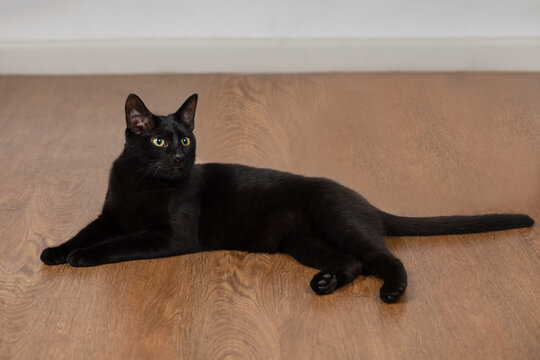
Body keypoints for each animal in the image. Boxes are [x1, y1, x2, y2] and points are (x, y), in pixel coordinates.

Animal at [40, 94, 532, 302]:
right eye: (160, 142)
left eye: (187, 141)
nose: (180, 158)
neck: (141, 182)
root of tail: (364, 200)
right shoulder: (109, 215)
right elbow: (84, 232)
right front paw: (55, 251)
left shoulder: (168, 236)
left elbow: (118, 244)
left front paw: (81, 258)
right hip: (301, 241)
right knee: (353, 262)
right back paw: (326, 284)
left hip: (337, 221)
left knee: (384, 257)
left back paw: (391, 291)